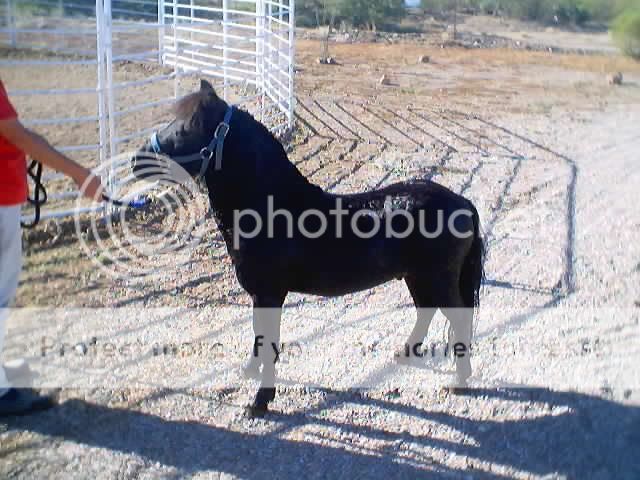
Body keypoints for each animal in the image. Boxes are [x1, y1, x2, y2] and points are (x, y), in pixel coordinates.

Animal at [135, 79, 484, 416]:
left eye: (186, 128)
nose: (137, 159)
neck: (274, 209)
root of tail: (463, 202)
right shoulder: (260, 294)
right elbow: (258, 336)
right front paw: (250, 373)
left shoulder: (269, 293)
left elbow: (269, 340)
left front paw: (260, 402)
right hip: (416, 277)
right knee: (426, 310)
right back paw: (405, 354)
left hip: (436, 279)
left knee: (458, 320)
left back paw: (459, 381)